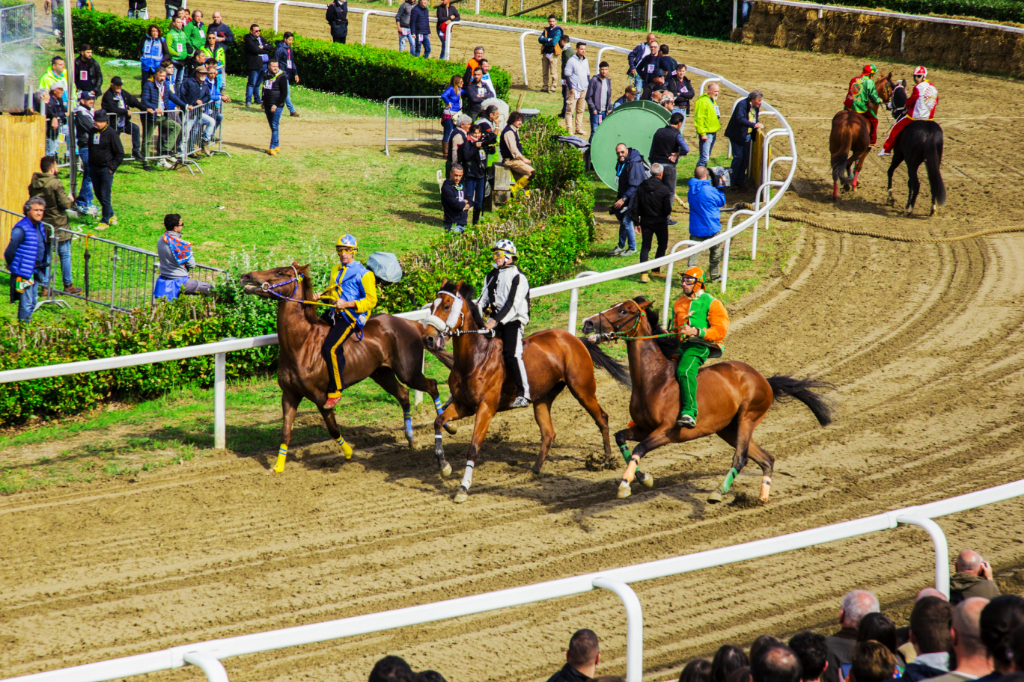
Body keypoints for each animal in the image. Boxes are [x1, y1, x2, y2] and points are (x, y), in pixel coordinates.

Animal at [241, 261, 454, 473]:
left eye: (280, 272)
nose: (246, 276)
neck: (301, 344)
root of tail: (411, 324)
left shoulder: (320, 396)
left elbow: (333, 428)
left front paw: (349, 453)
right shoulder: (289, 394)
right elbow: (286, 432)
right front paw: (277, 467)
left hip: (408, 372)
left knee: (432, 385)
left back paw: (448, 425)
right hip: (381, 373)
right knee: (403, 394)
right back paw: (411, 439)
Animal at [417, 278, 626, 501]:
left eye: (447, 306)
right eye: (432, 306)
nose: (428, 339)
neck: (475, 358)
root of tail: (574, 339)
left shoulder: (486, 408)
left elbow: (473, 448)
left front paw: (463, 487)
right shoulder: (463, 405)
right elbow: (438, 421)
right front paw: (444, 466)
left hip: (582, 389)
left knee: (601, 417)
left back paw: (607, 459)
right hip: (543, 398)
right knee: (549, 433)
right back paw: (535, 470)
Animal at [585, 296, 831, 499]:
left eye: (623, 310)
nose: (588, 322)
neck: (655, 380)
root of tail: (764, 380)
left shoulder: (667, 431)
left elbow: (639, 449)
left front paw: (625, 484)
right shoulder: (644, 427)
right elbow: (620, 437)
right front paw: (643, 478)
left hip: (748, 417)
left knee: (741, 457)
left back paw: (718, 492)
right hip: (728, 428)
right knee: (766, 458)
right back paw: (762, 497)